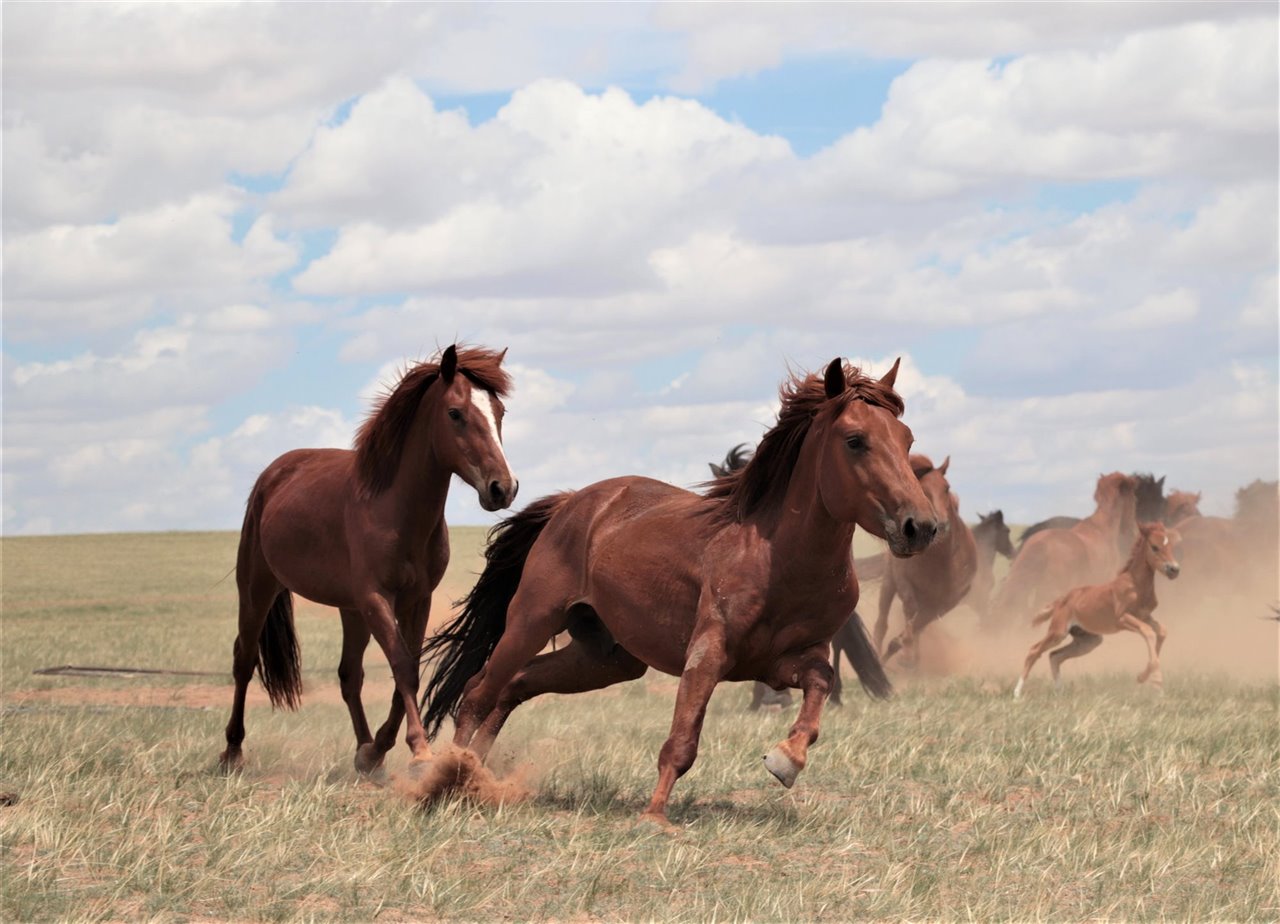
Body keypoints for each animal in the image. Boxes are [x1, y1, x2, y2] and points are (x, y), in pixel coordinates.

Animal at [220, 342, 519, 767]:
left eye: (500, 412)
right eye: (455, 413)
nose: (503, 488)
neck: (393, 509)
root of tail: (274, 474)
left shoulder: (416, 600)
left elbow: (407, 668)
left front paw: (379, 748)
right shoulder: (377, 597)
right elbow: (402, 666)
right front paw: (419, 751)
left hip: (351, 609)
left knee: (349, 675)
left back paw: (364, 754)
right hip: (258, 588)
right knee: (244, 660)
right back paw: (232, 750)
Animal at [424, 355, 936, 824]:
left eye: (906, 439)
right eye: (855, 440)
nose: (922, 527)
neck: (779, 558)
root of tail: (572, 503)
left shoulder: (789, 660)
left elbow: (821, 685)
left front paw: (785, 760)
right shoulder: (708, 653)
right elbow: (682, 739)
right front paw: (655, 816)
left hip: (606, 659)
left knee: (514, 685)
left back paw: (476, 777)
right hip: (532, 620)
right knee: (478, 692)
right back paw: (446, 781)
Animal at [1013, 522, 1182, 696]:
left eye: (1170, 545)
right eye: (1154, 547)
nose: (1174, 570)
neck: (1135, 584)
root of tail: (1061, 601)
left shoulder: (1145, 616)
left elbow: (1162, 631)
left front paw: (1142, 677)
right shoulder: (1122, 618)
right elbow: (1148, 632)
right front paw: (1156, 682)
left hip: (1089, 640)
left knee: (1055, 655)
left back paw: (1060, 692)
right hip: (1058, 632)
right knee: (1034, 650)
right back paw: (1017, 693)